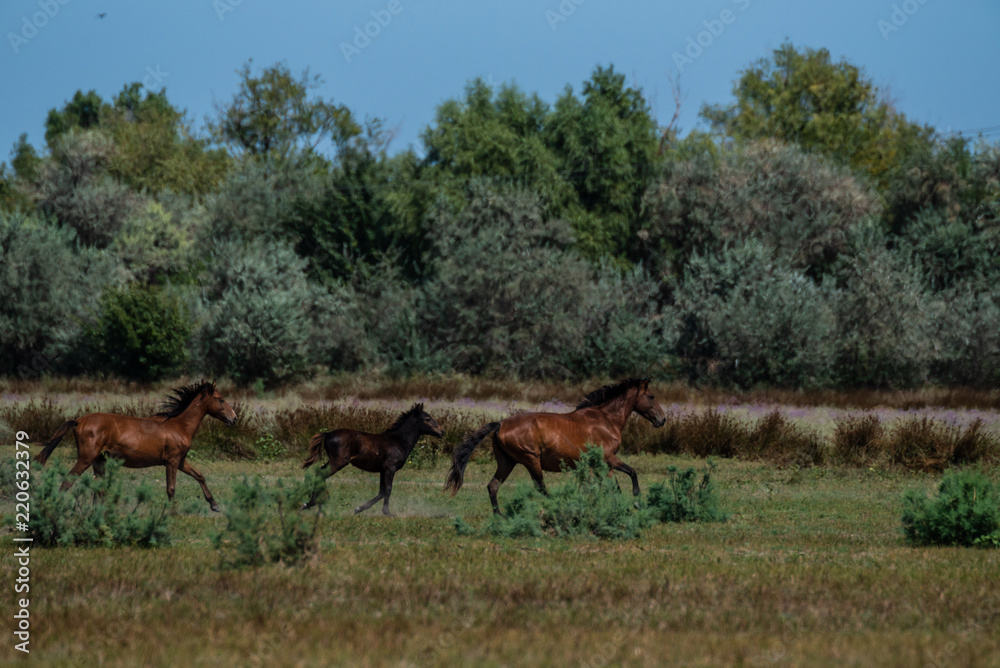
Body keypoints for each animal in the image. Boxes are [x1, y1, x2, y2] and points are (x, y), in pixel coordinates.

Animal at [33, 380, 238, 512]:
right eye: (221, 399)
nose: (234, 418)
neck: (179, 426)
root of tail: (79, 420)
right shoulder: (172, 462)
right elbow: (171, 489)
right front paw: (173, 514)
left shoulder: (180, 461)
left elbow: (199, 475)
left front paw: (214, 505)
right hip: (86, 458)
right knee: (68, 481)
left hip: (99, 461)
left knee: (98, 489)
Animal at [300, 402, 446, 516]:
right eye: (427, 418)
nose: (442, 431)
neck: (398, 441)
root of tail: (328, 433)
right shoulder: (390, 468)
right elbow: (388, 490)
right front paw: (387, 513)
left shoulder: (383, 470)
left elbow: (382, 491)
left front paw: (358, 509)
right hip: (339, 462)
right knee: (321, 473)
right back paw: (316, 501)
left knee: (319, 472)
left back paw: (312, 502)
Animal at [444, 378, 664, 516]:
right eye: (651, 396)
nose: (662, 419)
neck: (606, 420)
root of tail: (501, 424)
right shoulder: (608, 458)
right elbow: (631, 472)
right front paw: (636, 500)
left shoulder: (603, 464)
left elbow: (612, 488)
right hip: (531, 460)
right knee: (541, 487)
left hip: (507, 462)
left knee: (493, 486)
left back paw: (500, 516)